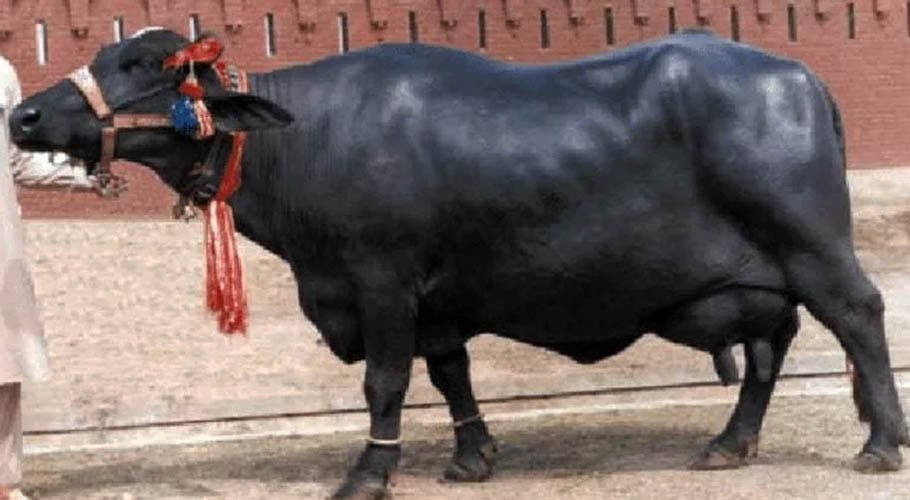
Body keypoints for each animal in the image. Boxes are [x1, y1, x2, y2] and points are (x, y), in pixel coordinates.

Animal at [9, 27, 908, 498]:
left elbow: (387, 381)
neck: (306, 138)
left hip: (812, 245)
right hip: (759, 275)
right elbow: (450, 374)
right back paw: (730, 441)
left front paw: (369, 471)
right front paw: (474, 455)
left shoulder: (379, 280)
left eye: (142, 66)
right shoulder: (435, 300)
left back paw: (880, 441)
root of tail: (795, 75)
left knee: (858, 318)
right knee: (770, 347)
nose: (23, 116)